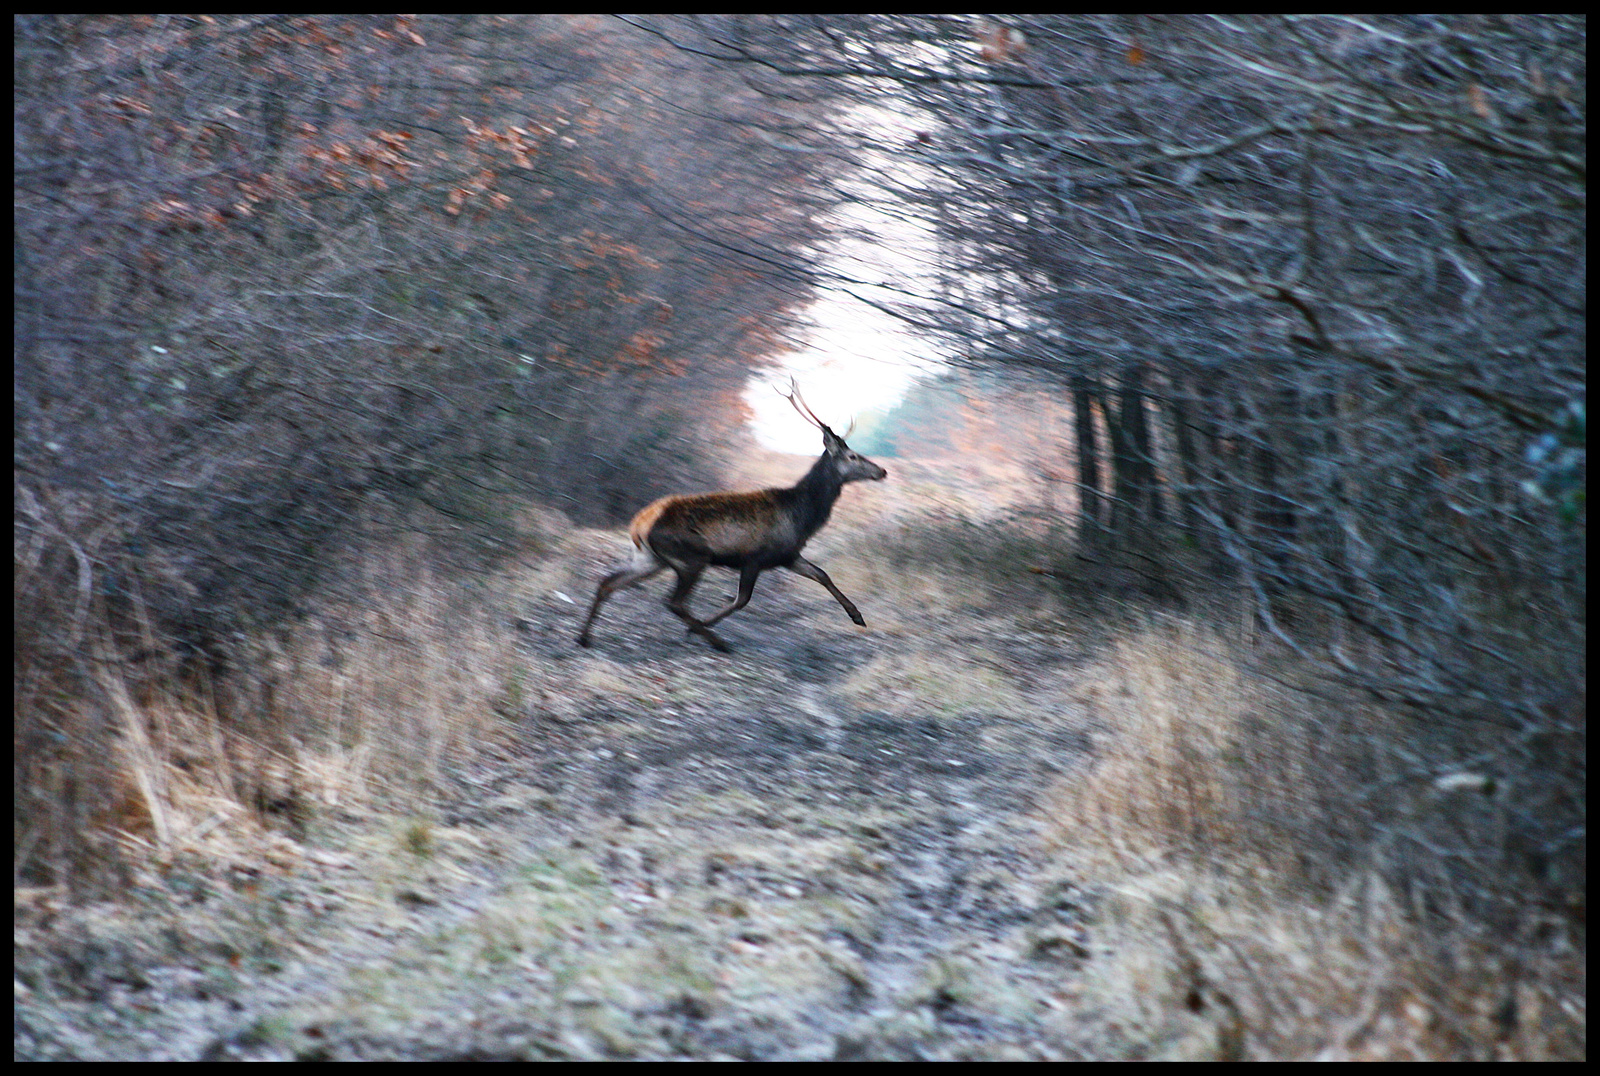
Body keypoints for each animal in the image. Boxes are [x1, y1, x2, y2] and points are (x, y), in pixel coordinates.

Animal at [579, 387, 889, 656]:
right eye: (852, 456)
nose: (882, 471)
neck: (803, 516)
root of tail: (639, 525)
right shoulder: (754, 557)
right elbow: (742, 600)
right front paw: (699, 629)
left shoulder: (786, 555)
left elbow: (822, 574)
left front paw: (857, 616)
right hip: (692, 557)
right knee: (673, 602)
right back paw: (716, 641)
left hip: (649, 559)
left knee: (608, 582)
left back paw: (584, 637)